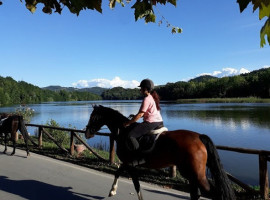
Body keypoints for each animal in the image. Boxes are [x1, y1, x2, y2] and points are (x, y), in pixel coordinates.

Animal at [84, 105, 234, 199]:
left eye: (93, 117)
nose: (87, 133)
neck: (123, 131)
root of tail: (199, 136)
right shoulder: (128, 164)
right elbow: (121, 174)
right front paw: (112, 191)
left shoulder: (129, 164)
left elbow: (133, 183)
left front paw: (113, 191)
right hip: (190, 172)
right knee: (195, 193)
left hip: (197, 174)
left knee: (214, 193)